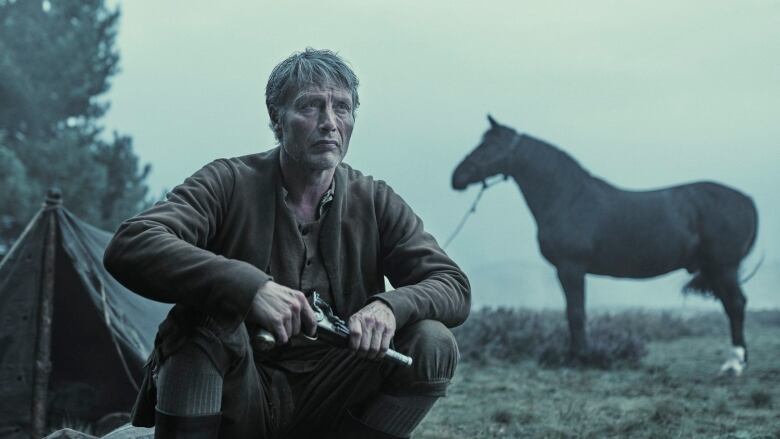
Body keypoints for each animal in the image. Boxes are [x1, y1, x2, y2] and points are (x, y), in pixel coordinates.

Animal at [454, 115, 760, 372]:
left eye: (489, 145)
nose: (456, 177)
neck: (567, 197)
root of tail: (746, 199)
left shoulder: (571, 268)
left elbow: (576, 313)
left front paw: (581, 358)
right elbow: (572, 312)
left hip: (724, 267)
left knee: (736, 305)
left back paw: (734, 364)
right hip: (714, 269)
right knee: (731, 305)